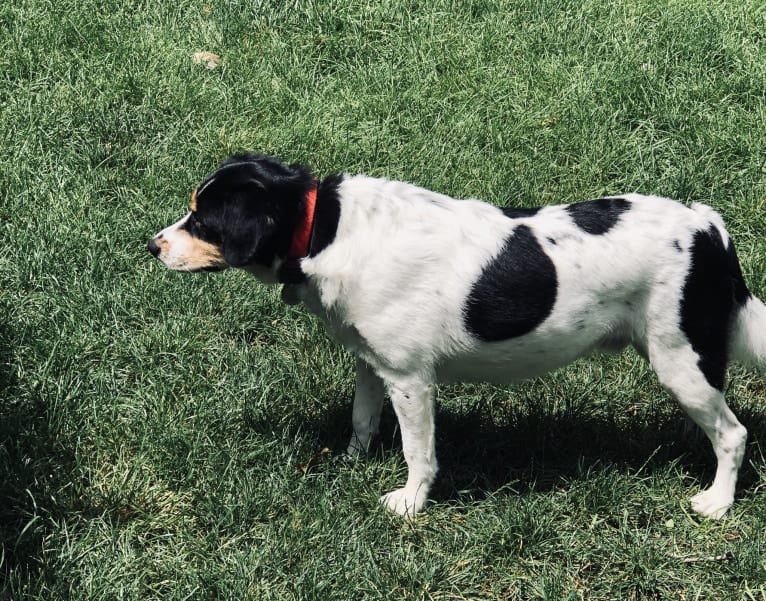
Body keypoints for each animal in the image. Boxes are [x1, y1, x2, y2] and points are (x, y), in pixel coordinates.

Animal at [147, 152, 764, 516]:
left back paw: (716, 502)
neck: (325, 227)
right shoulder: (370, 363)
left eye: (203, 220)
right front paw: (350, 464)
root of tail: (710, 226)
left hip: (681, 357)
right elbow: (362, 421)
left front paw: (409, 503)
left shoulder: (410, 379)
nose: (151, 246)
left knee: (733, 434)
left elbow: (418, 451)